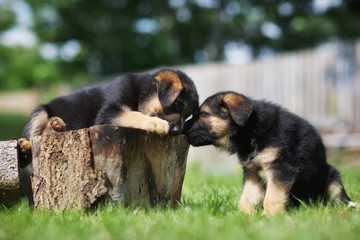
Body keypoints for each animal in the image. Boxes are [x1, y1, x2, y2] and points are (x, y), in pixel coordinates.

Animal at [18, 68, 200, 200]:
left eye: (188, 115)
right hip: (40, 111)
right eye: (178, 104)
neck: (141, 92)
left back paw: (54, 128)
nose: (177, 131)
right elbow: (133, 114)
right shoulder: (109, 113)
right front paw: (157, 123)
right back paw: (27, 146)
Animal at [184, 91, 352, 214]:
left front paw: (269, 217)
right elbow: (247, 196)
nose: (182, 129)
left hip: (333, 179)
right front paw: (242, 216)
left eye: (203, 114)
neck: (251, 131)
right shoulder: (251, 171)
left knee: (339, 198)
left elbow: (273, 195)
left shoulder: (280, 167)